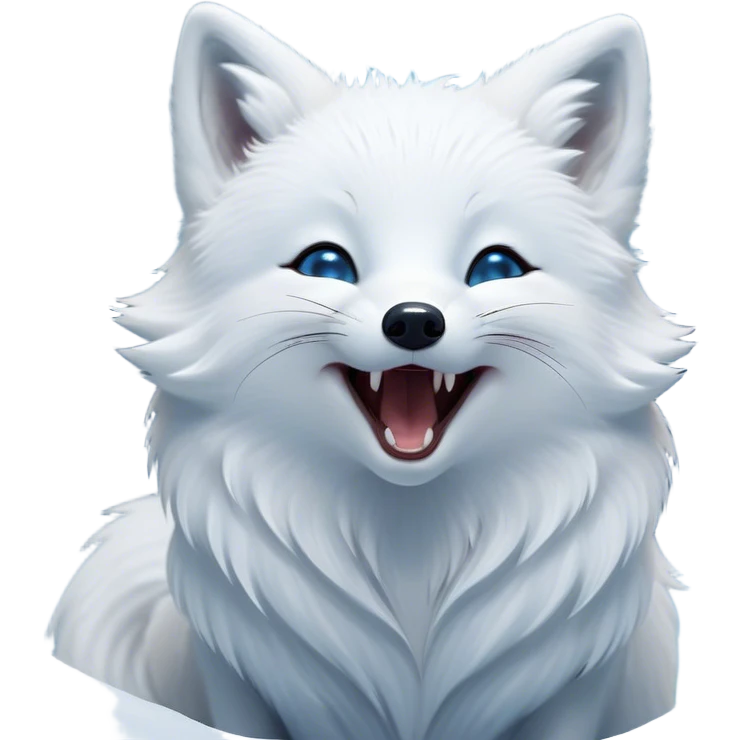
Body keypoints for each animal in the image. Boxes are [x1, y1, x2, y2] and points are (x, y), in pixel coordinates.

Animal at [44, 3, 694, 739]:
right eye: (325, 263)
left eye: (496, 267)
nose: (412, 320)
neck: (410, 555)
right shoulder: (235, 679)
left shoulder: (577, 688)